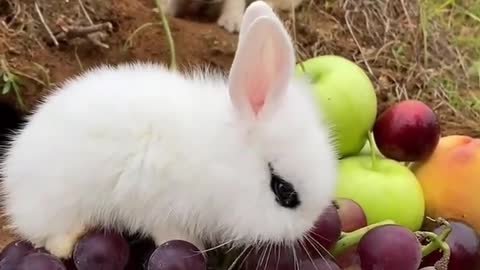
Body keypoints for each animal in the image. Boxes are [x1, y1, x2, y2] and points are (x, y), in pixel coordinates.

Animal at [0, 1, 338, 260]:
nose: (307, 228)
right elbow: (173, 237)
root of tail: (13, 166)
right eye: (283, 190)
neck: (217, 160)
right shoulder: (161, 210)